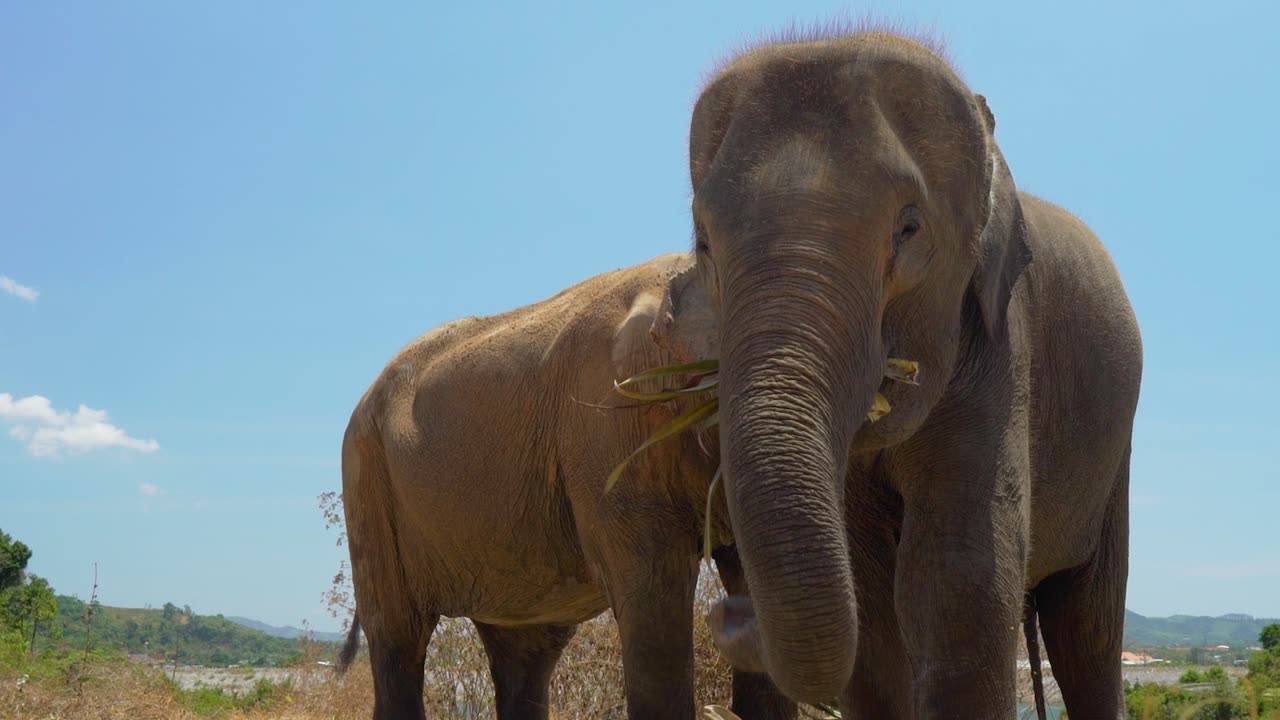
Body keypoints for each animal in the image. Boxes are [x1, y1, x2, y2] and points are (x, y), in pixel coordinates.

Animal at [680, 28, 1152, 717]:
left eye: (908, 227)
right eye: (704, 243)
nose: (727, 613)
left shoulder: (998, 340)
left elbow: (960, 578)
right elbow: (871, 600)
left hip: (1114, 453)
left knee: (1087, 627)